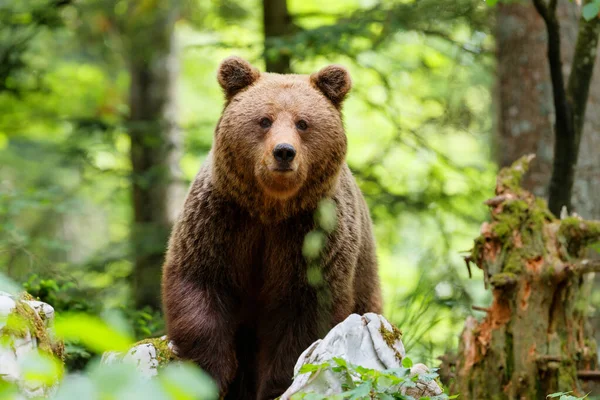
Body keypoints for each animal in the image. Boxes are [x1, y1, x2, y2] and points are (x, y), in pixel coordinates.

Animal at [162, 57, 382, 400]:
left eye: (303, 123)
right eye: (264, 120)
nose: (284, 152)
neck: (271, 209)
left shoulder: (311, 236)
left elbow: (304, 315)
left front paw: (276, 385)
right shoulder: (221, 221)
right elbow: (201, 285)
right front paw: (211, 373)